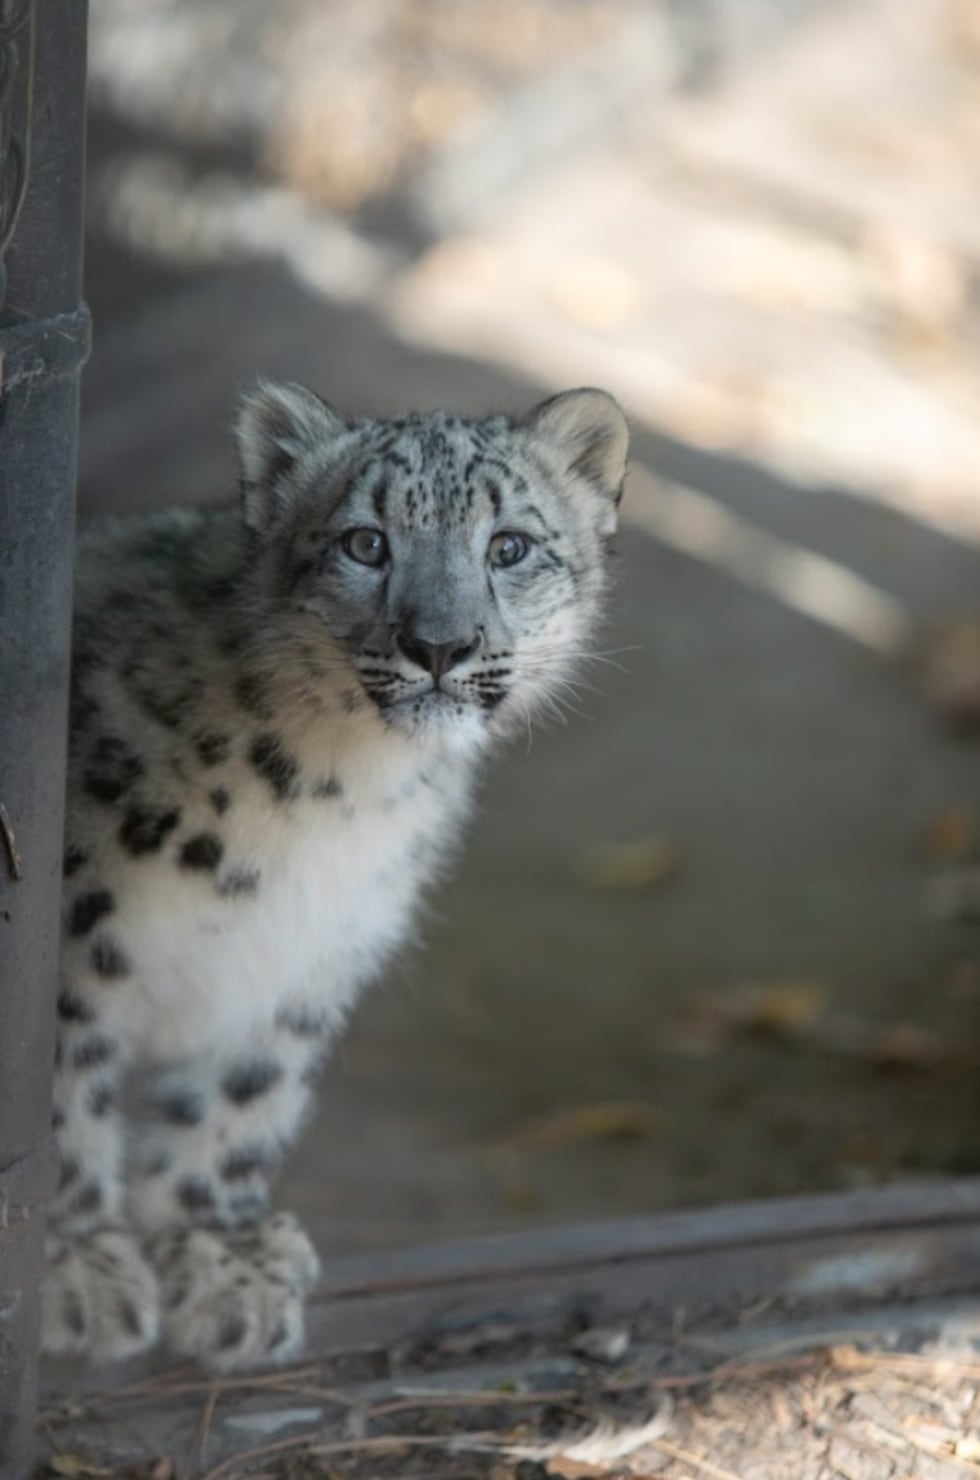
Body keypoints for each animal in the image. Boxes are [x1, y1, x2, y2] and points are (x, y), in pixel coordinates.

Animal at [44, 379, 629, 1372]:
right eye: (365, 542)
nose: (441, 646)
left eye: (510, 545)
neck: (335, 794)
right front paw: (76, 1259)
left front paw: (223, 1258)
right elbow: (60, 1089)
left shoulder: (301, 959)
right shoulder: (78, 939)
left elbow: (241, 1098)